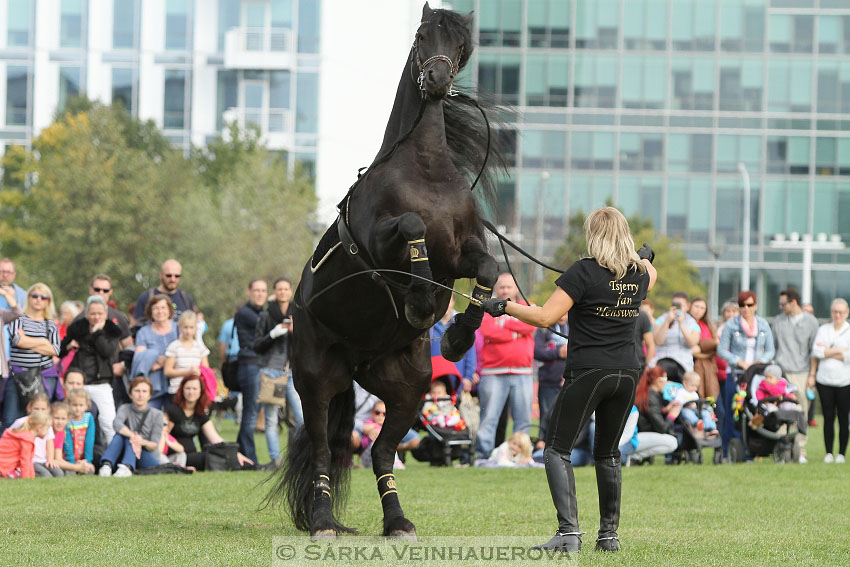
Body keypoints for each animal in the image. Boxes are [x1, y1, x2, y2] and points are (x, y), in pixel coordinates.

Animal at [264, 3, 500, 536]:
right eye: (421, 34)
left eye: (461, 43)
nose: (437, 80)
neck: (426, 170)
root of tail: (354, 361)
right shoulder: (382, 239)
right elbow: (412, 231)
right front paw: (417, 300)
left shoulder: (461, 252)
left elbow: (489, 267)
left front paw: (458, 335)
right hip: (315, 381)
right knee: (325, 452)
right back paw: (323, 520)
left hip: (407, 389)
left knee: (381, 452)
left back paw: (398, 521)